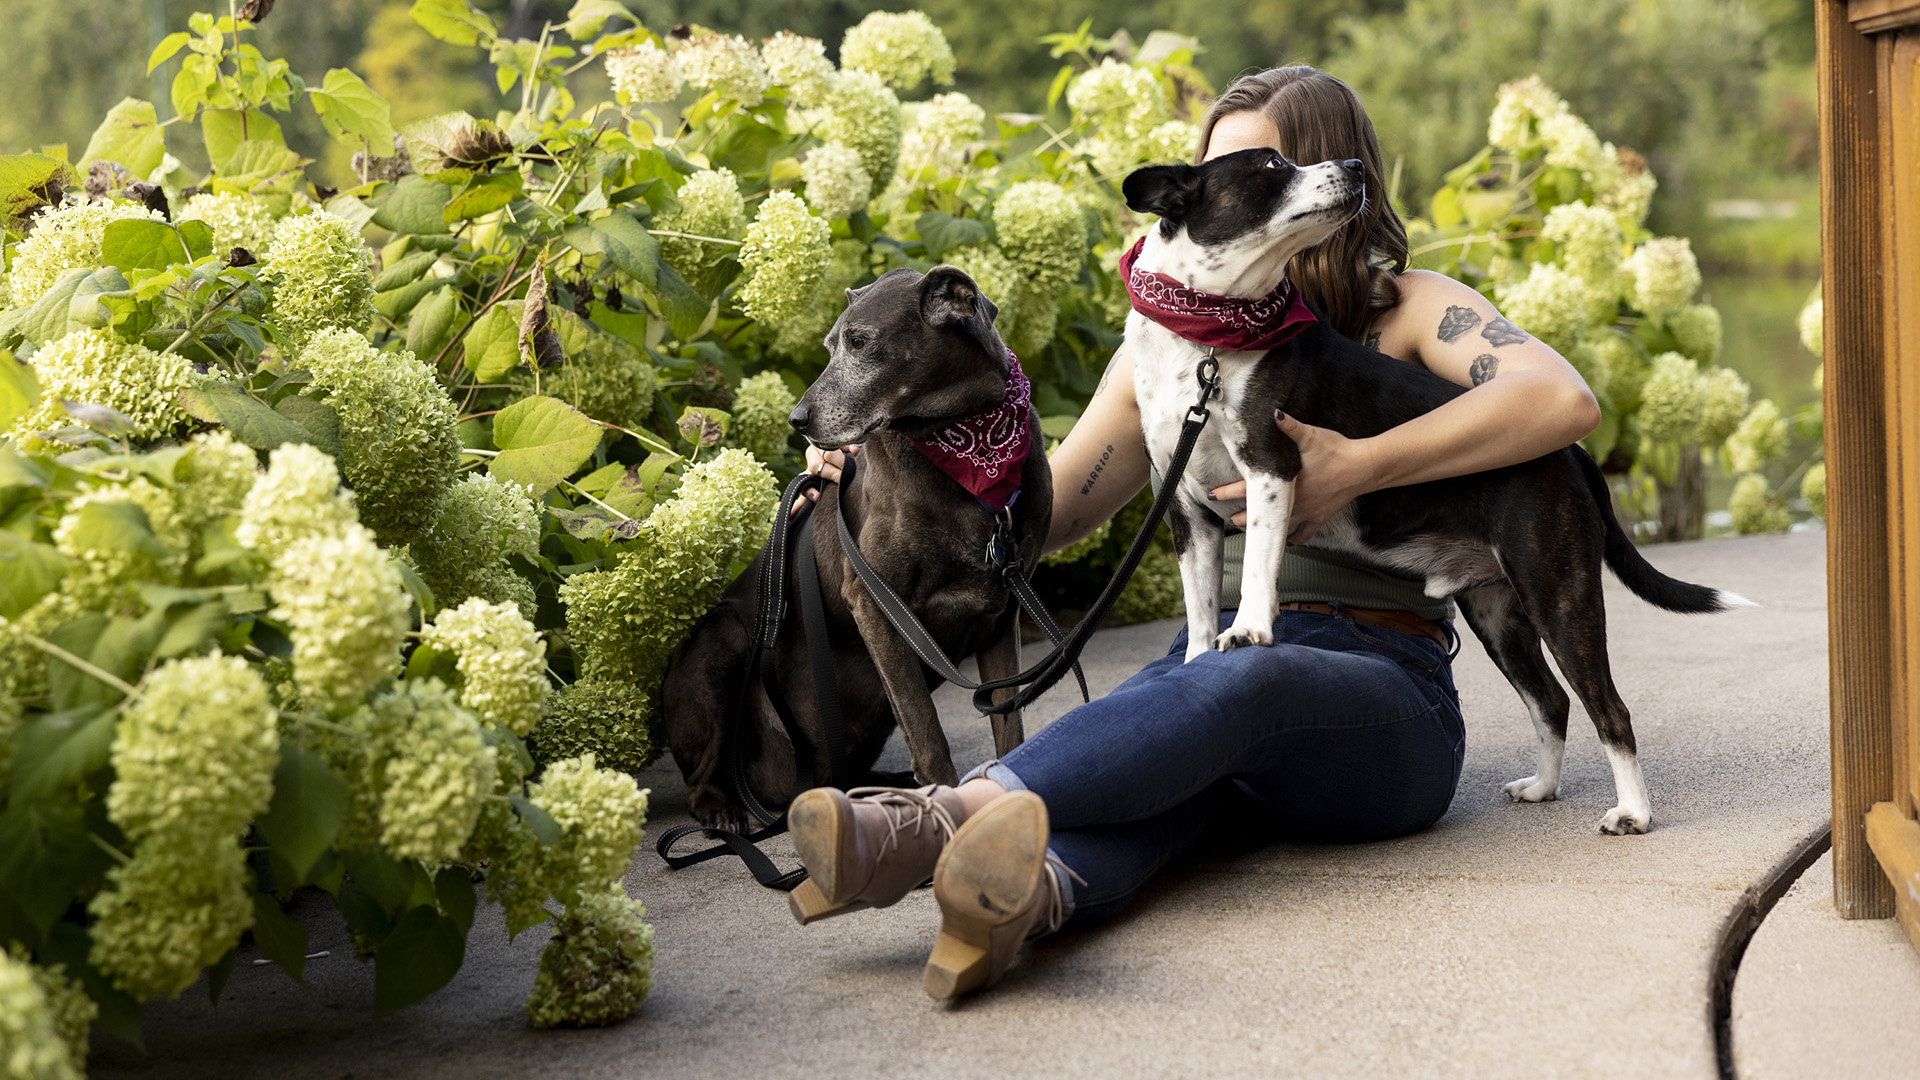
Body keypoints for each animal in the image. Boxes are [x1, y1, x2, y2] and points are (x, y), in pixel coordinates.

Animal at [664, 265, 1052, 826]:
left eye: (860, 342)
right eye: (830, 345)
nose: (796, 420)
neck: (966, 443)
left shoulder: (1001, 612)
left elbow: (1009, 725)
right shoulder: (875, 602)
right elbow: (927, 732)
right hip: (723, 642)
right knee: (701, 779)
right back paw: (722, 809)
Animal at [1121, 145, 1751, 834]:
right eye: (1270, 166)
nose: (1353, 165)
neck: (1206, 334)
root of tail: (1572, 453)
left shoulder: (1269, 469)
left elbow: (1260, 567)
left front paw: (1252, 631)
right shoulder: (1189, 515)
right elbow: (1200, 603)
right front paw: (1199, 659)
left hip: (1558, 592)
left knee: (1607, 707)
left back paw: (1633, 813)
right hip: (1497, 611)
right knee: (1551, 701)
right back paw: (1542, 788)